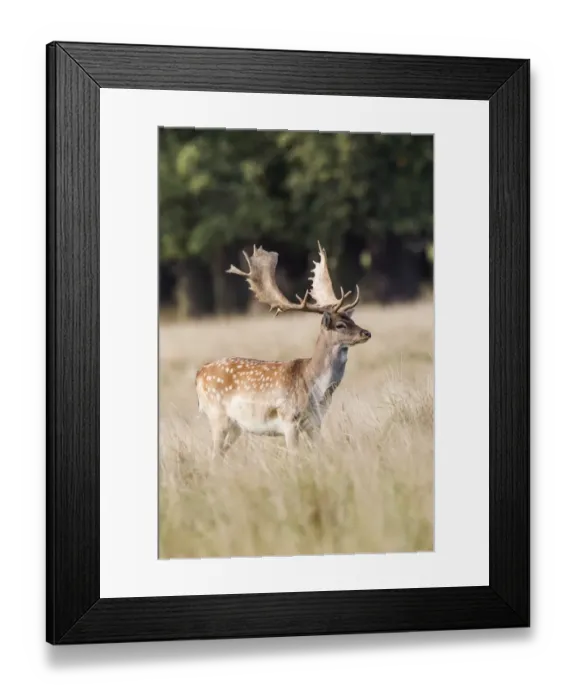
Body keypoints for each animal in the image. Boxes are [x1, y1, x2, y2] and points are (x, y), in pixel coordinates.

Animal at [195, 242, 371, 457]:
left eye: (352, 320)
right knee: (213, 454)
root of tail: (199, 373)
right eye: (340, 325)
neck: (315, 388)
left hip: (236, 426)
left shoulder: (315, 422)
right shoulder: (289, 420)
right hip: (217, 415)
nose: (366, 333)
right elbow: (295, 456)